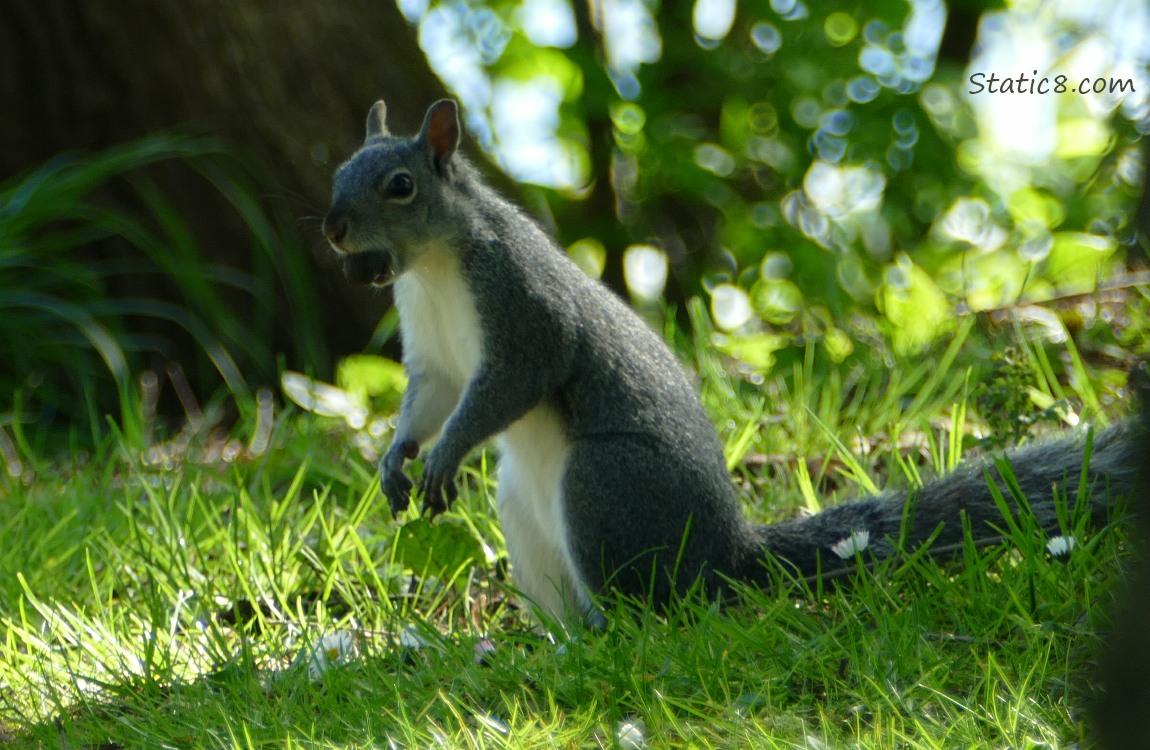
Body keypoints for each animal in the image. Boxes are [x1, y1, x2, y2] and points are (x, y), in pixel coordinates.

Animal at [324, 99, 1140, 625]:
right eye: (337, 172)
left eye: (400, 186)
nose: (332, 230)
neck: (434, 266)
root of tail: (728, 554)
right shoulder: (433, 354)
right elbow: (432, 398)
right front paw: (397, 458)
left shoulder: (522, 314)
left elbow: (502, 390)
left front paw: (444, 456)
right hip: (525, 512)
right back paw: (556, 646)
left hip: (604, 486)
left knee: (653, 604)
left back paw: (616, 635)